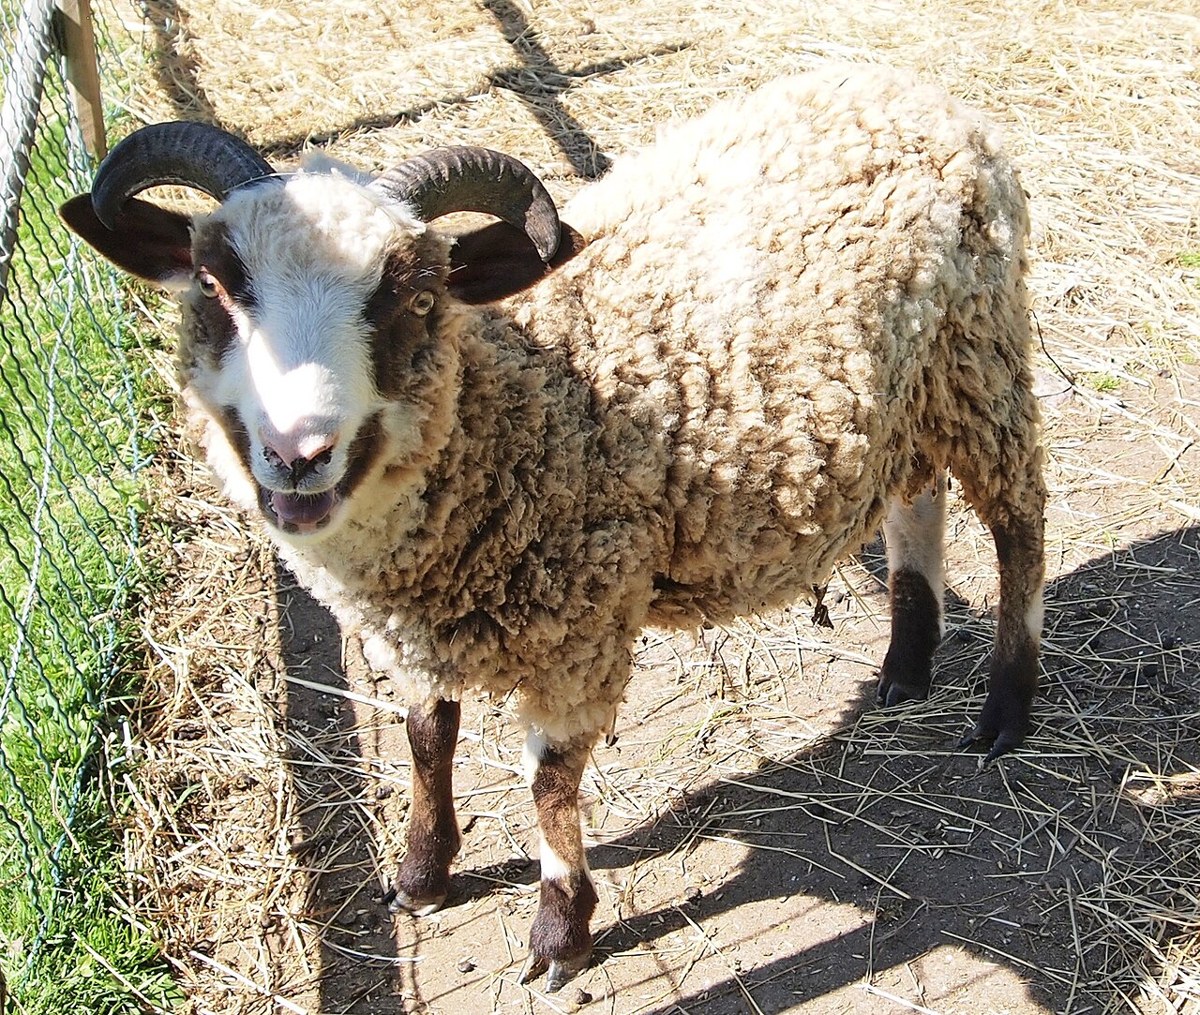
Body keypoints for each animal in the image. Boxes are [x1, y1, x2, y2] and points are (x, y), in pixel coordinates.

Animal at [60, 63, 1046, 991]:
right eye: (217, 283)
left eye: (413, 298)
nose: (298, 452)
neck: (525, 392)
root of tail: (913, 94)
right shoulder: (416, 631)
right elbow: (427, 739)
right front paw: (420, 876)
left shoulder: (584, 622)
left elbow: (549, 779)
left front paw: (559, 930)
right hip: (910, 396)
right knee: (916, 498)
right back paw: (906, 665)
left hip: (983, 355)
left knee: (1020, 528)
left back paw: (1002, 710)